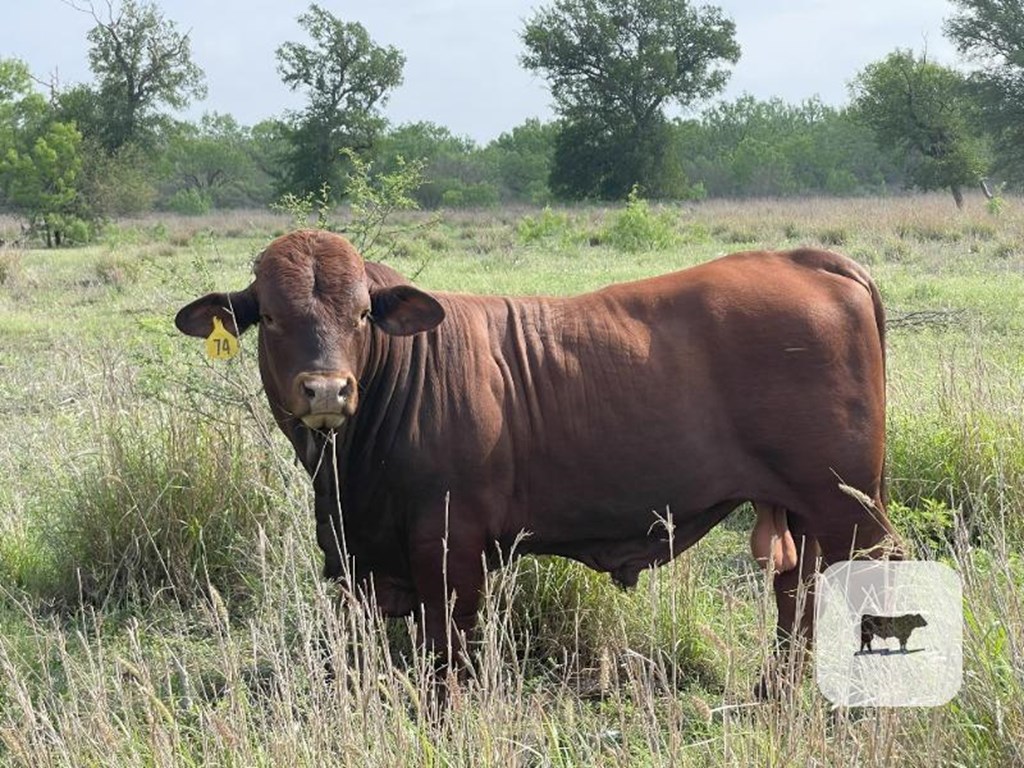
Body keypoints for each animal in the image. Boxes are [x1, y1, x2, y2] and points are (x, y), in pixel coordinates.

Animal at [176, 230, 897, 679]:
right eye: (270, 317)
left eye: (359, 314)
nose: (326, 388)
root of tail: (806, 260)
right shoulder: (364, 561)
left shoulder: (450, 548)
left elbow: (447, 658)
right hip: (804, 511)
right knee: (797, 595)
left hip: (847, 506)